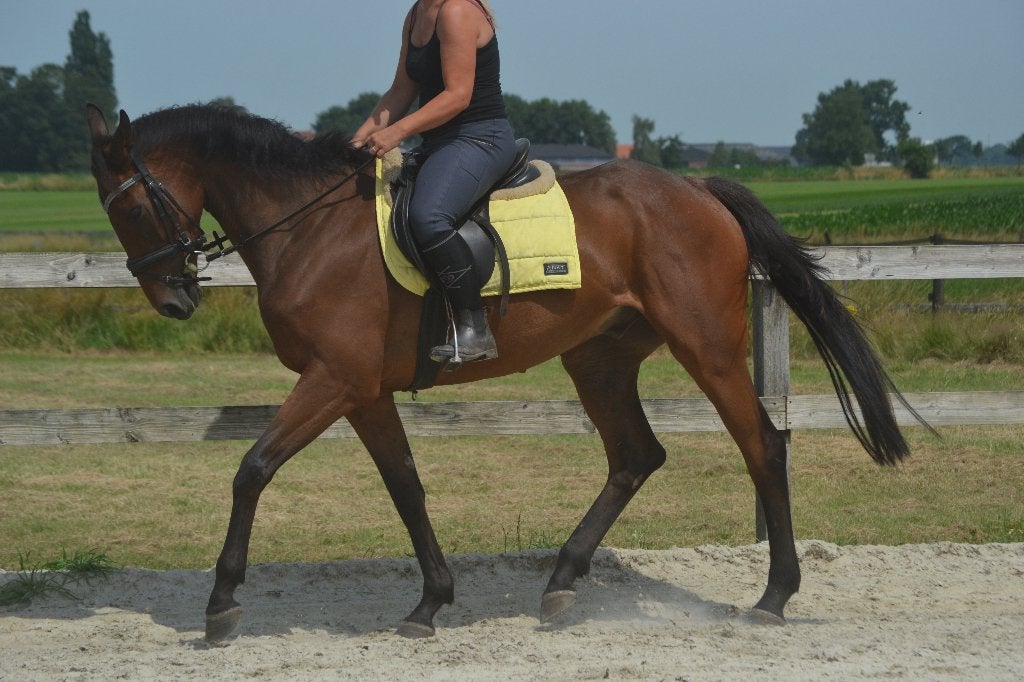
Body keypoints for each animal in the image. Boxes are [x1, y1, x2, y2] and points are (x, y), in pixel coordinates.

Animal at [85, 103, 921, 642]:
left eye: (128, 208)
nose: (174, 299)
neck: (310, 225)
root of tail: (698, 188)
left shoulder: (333, 380)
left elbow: (252, 469)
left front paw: (222, 602)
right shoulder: (364, 392)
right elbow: (406, 486)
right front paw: (430, 603)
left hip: (707, 349)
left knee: (763, 447)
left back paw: (773, 596)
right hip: (598, 358)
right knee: (636, 456)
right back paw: (562, 583)